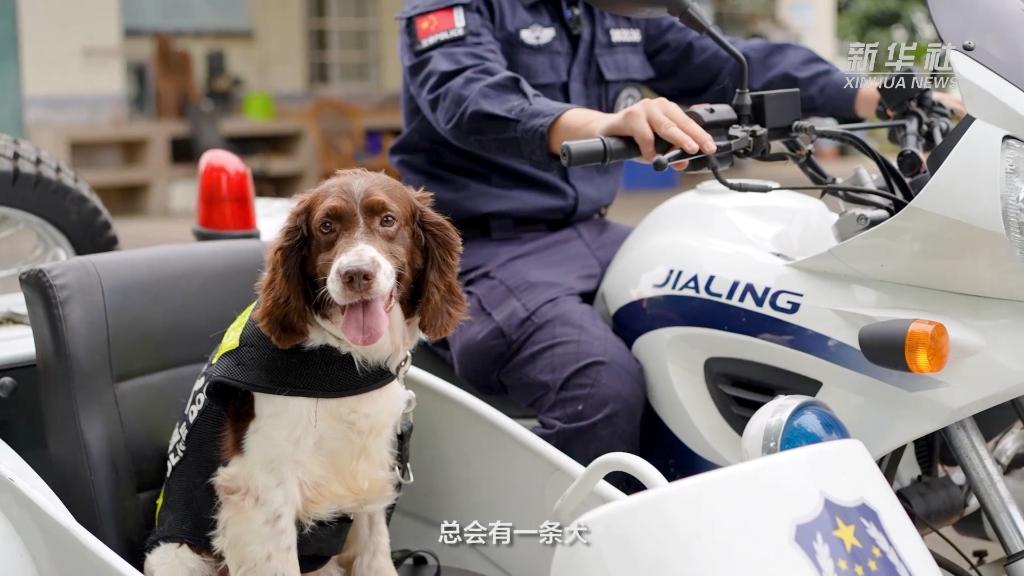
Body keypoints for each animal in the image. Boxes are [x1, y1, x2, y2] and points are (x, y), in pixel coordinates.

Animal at [144, 169, 466, 576]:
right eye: (326, 226)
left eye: (388, 220)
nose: (356, 275)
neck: (343, 358)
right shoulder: (263, 488)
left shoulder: (369, 468)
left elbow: (376, 552)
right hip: (177, 556)